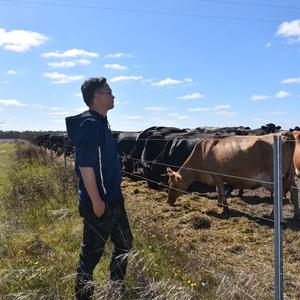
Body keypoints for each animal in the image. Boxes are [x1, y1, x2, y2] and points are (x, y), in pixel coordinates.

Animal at [168, 132, 298, 219]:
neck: (202, 152)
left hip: (275, 178)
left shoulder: (216, 174)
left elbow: (221, 191)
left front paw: (225, 208)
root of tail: (284, 134)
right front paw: (219, 204)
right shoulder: (218, 177)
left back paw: (272, 215)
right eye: (169, 183)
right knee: (294, 190)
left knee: (280, 194)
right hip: (289, 175)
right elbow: (218, 190)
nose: (169, 201)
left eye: (175, 185)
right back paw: (296, 214)